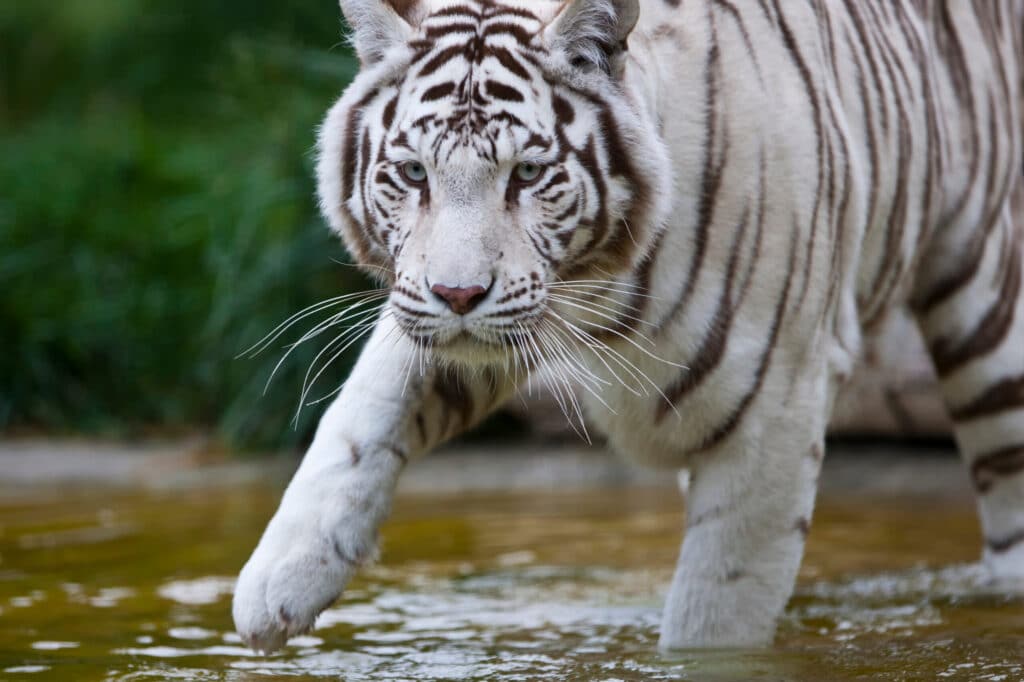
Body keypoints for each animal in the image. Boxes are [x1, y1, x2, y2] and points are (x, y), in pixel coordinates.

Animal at [233, 0, 1024, 652]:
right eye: (414, 174)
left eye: (526, 175)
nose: (458, 293)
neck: (597, 290)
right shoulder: (448, 319)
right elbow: (359, 419)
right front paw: (276, 583)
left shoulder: (774, 409)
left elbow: (714, 617)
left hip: (988, 318)